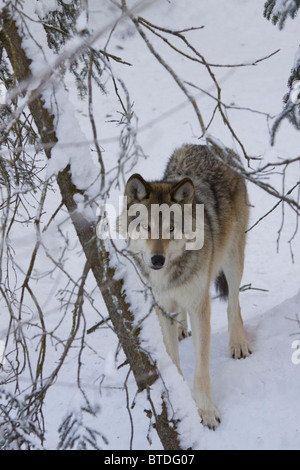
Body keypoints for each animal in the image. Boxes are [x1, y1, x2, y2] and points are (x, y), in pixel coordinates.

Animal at [118, 143, 252, 430]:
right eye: (146, 227)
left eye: (171, 228)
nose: (157, 260)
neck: (172, 273)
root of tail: (210, 146)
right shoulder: (162, 304)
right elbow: (172, 358)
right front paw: (176, 401)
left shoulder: (200, 306)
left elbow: (201, 369)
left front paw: (206, 412)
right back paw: (181, 327)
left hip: (232, 259)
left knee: (233, 303)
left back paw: (239, 343)